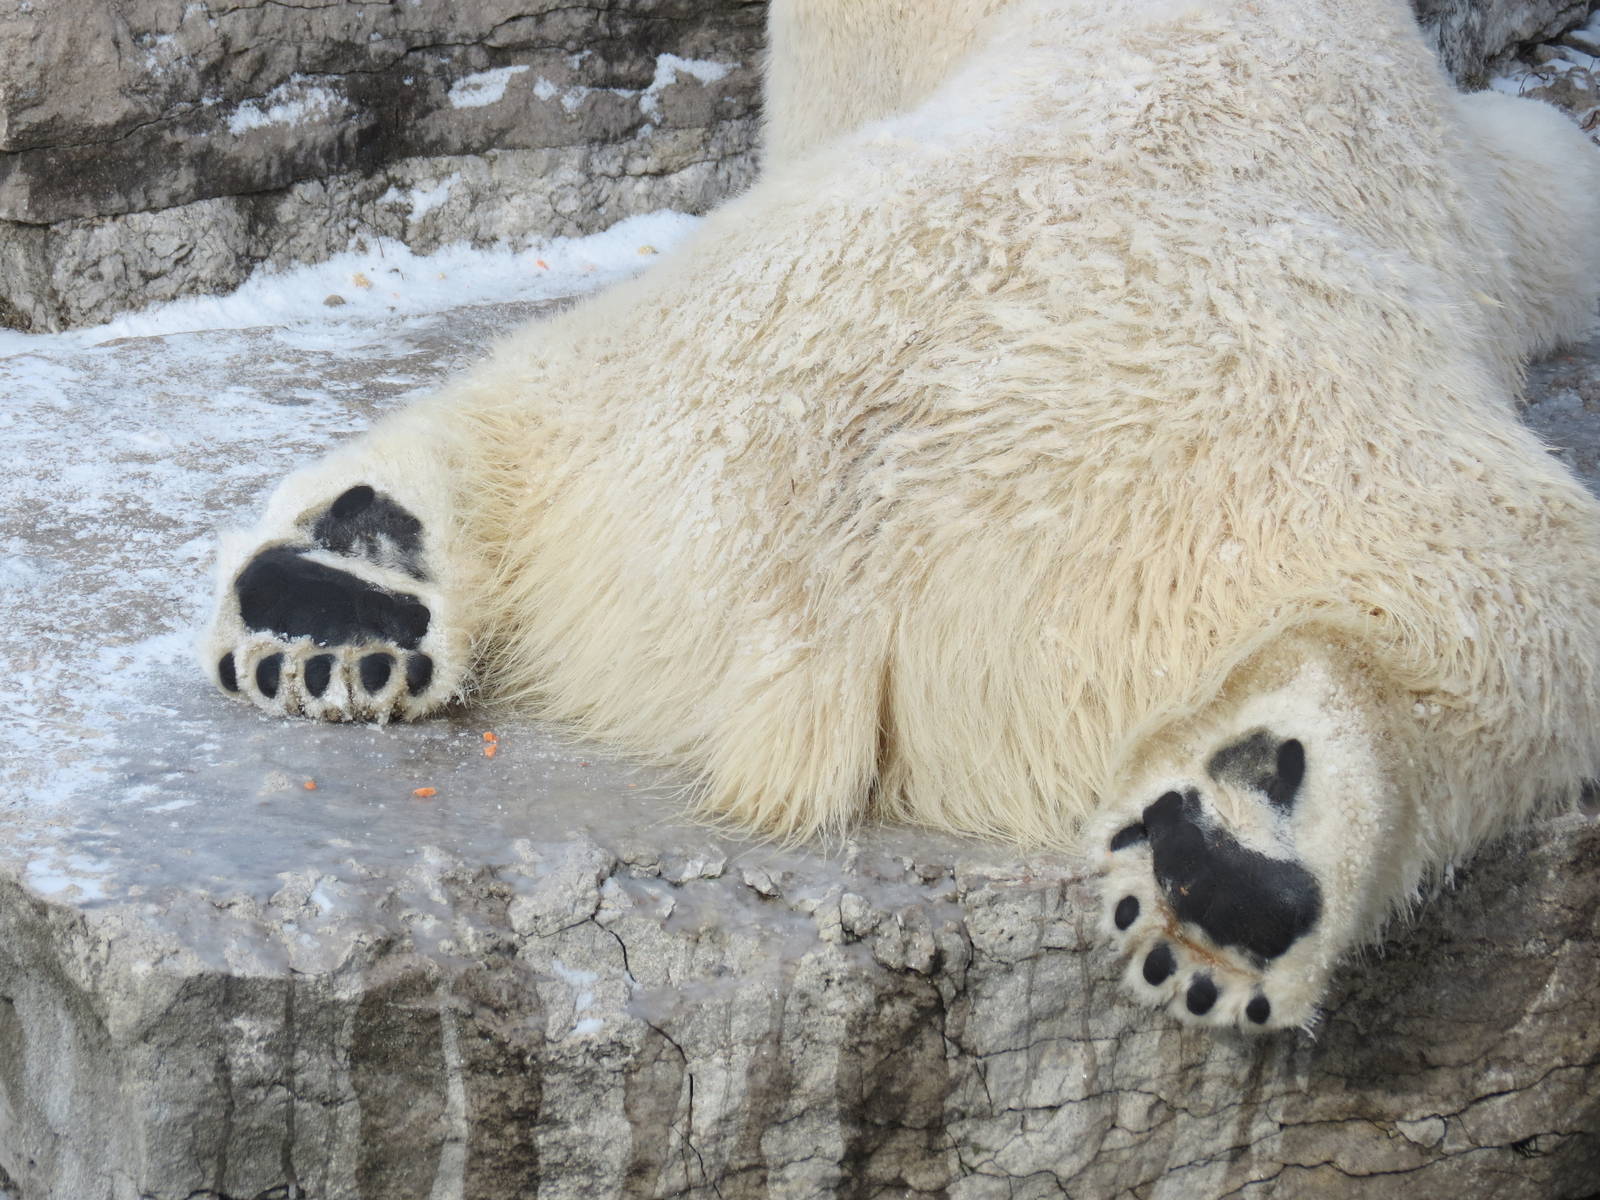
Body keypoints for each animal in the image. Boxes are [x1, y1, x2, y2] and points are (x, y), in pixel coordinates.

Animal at [203, 0, 1600, 1033]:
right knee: (1506, 605)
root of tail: (851, 532)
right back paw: (1245, 860)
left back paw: (337, 588)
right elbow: (1544, 187)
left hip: (674, 375)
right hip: (1262, 479)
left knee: (512, 403)